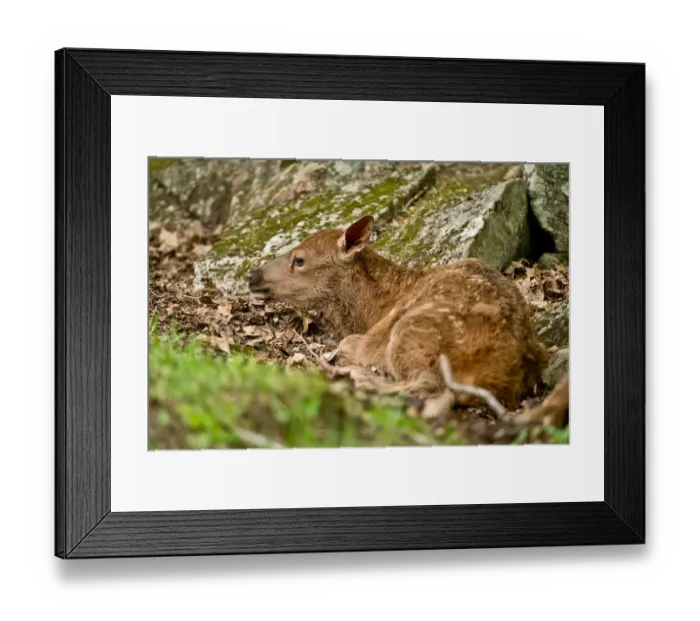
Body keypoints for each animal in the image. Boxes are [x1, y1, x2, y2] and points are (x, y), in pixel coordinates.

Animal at [245, 215, 559, 421]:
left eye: (299, 260)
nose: (251, 274)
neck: (370, 311)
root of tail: (506, 371)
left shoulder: (370, 338)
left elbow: (347, 343)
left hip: (412, 329)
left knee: (429, 384)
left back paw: (359, 377)